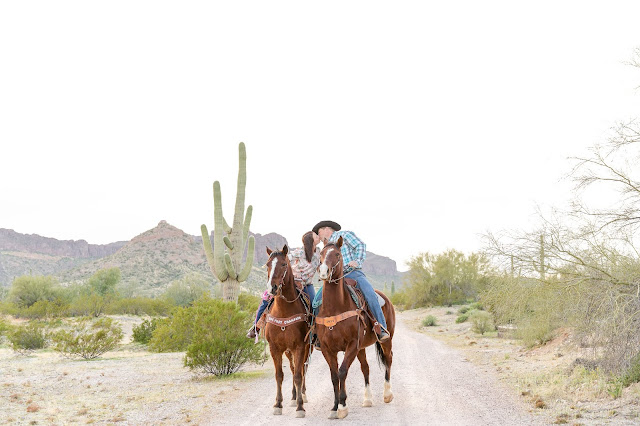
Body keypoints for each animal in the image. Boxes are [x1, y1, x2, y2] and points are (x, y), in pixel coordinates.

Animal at [262, 245, 312, 418]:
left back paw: (302, 394)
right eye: (268, 264)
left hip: (305, 349)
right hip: (288, 351)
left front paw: (300, 407)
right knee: (292, 367)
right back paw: (294, 396)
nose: (272, 288)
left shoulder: (300, 346)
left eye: (284, 264)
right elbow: (279, 375)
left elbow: (298, 375)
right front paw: (278, 404)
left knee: (302, 369)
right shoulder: (275, 348)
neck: (283, 311)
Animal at [316, 236, 396, 420]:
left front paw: (342, 406)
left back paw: (387, 394)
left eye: (337, 254)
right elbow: (334, 376)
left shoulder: (351, 344)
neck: (335, 307)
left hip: (386, 339)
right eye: (321, 254)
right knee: (365, 367)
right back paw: (367, 399)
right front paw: (334, 407)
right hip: (361, 347)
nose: (323, 271)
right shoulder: (327, 348)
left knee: (388, 359)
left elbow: (342, 371)